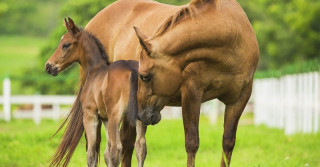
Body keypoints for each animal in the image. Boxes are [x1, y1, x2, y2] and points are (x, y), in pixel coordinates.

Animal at [84, 0, 258, 166]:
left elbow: (228, 143)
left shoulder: (240, 99)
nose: (141, 114)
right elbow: (192, 142)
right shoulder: (192, 93)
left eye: (144, 76)